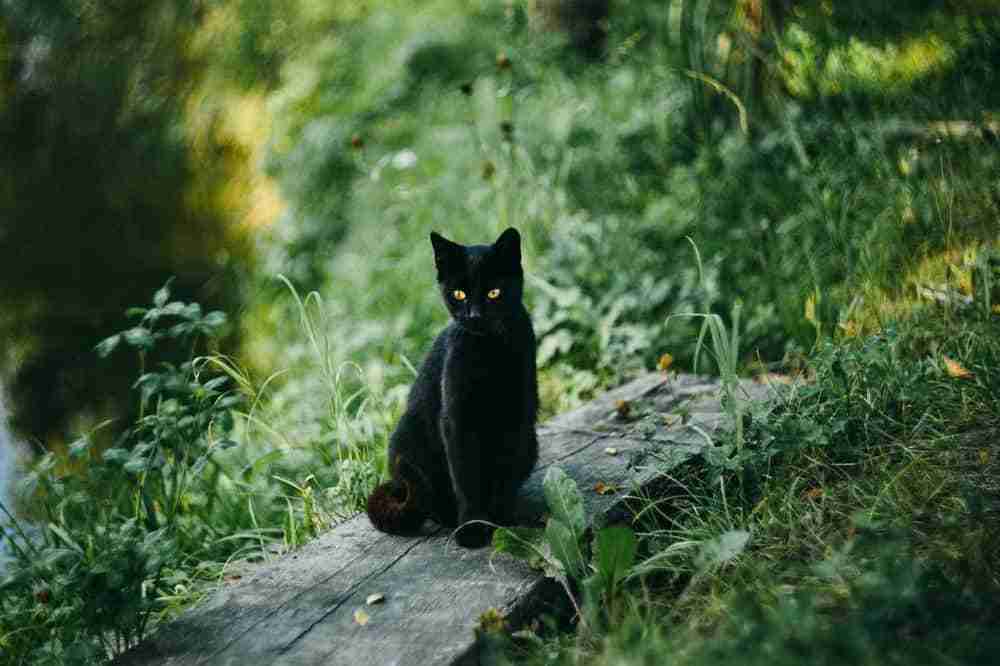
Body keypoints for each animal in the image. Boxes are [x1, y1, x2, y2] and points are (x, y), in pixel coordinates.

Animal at [366, 226, 540, 548]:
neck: (489, 351)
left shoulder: (516, 416)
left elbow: (503, 475)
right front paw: (473, 527)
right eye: (459, 294)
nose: (474, 315)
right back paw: (449, 516)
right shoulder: (457, 421)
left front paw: (502, 519)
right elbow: (467, 478)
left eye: (493, 292)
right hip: (407, 436)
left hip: (532, 441)